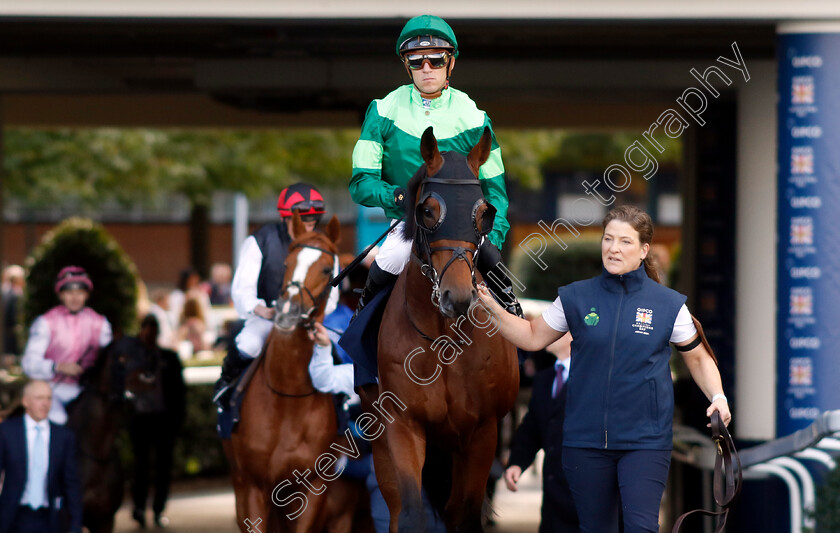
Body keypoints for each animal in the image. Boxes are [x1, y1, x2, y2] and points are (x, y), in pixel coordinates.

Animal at [225, 214, 362, 528]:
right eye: (287, 263)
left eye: (327, 268)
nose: (286, 310)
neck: (287, 398)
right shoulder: (253, 486)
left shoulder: (312, 487)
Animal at [366, 125, 520, 532]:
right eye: (427, 210)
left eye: (485, 212)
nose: (458, 296)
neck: (443, 340)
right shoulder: (403, 424)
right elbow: (410, 513)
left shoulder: (482, 432)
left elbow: (463, 513)